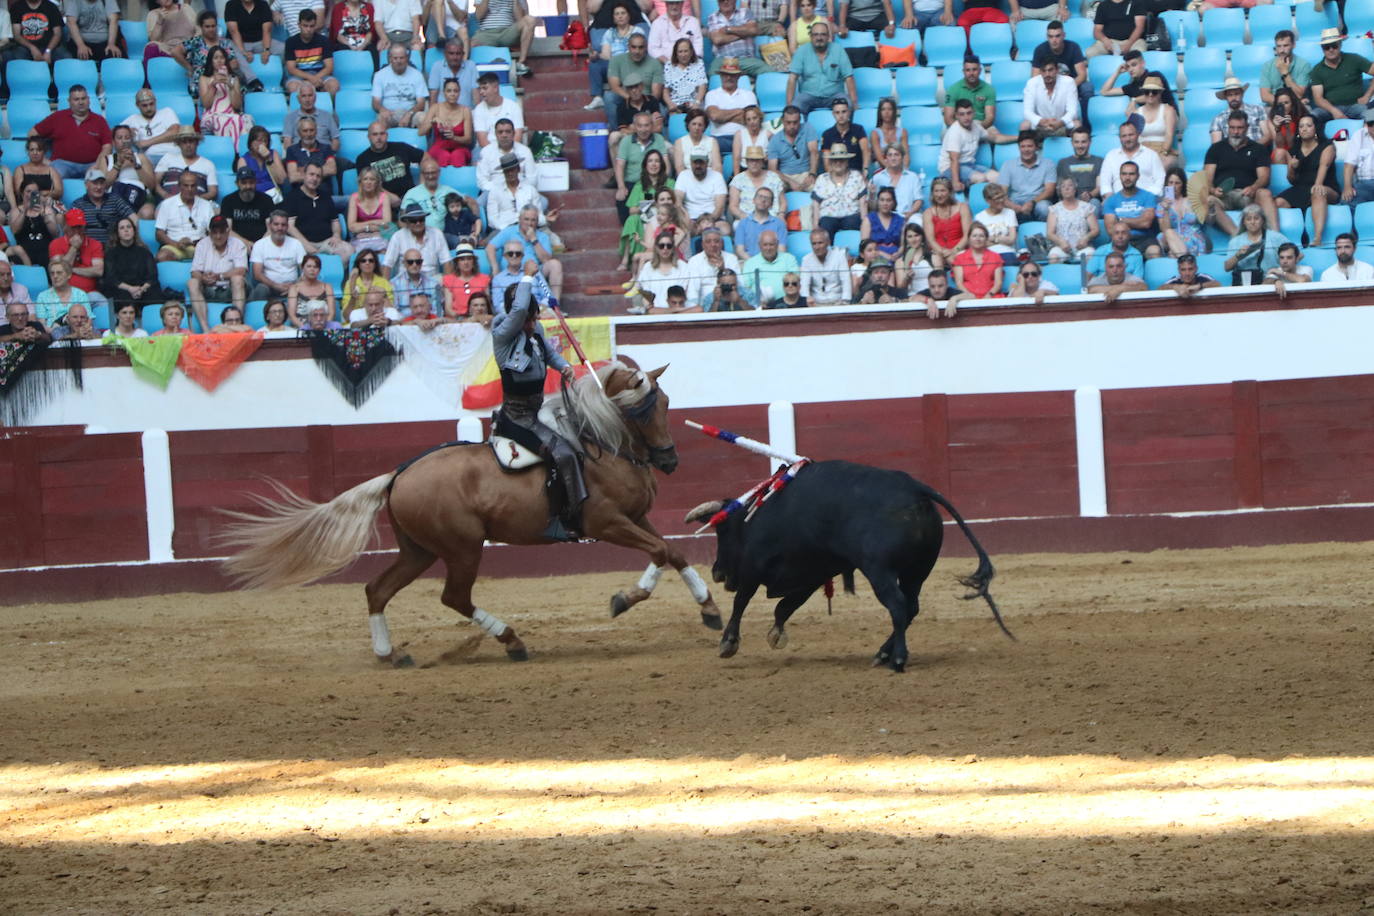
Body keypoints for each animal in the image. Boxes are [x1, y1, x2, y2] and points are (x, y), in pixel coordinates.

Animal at [219, 362, 725, 670]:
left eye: (666, 404)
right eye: (644, 407)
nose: (669, 460)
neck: (602, 444)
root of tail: (398, 474)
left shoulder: (636, 518)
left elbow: (672, 552)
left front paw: (708, 609)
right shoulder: (605, 524)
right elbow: (659, 553)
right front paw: (625, 599)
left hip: (419, 550)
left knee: (377, 589)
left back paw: (391, 654)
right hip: (462, 548)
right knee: (454, 597)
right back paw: (512, 641)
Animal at [684, 461, 1016, 670]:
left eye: (722, 530)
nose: (717, 572)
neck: (756, 515)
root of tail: (915, 489)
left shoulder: (755, 568)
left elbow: (743, 601)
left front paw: (728, 643)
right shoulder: (813, 572)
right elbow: (785, 606)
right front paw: (776, 634)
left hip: (879, 570)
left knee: (898, 605)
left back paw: (897, 659)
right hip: (916, 573)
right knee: (911, 606)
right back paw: (882, 654)